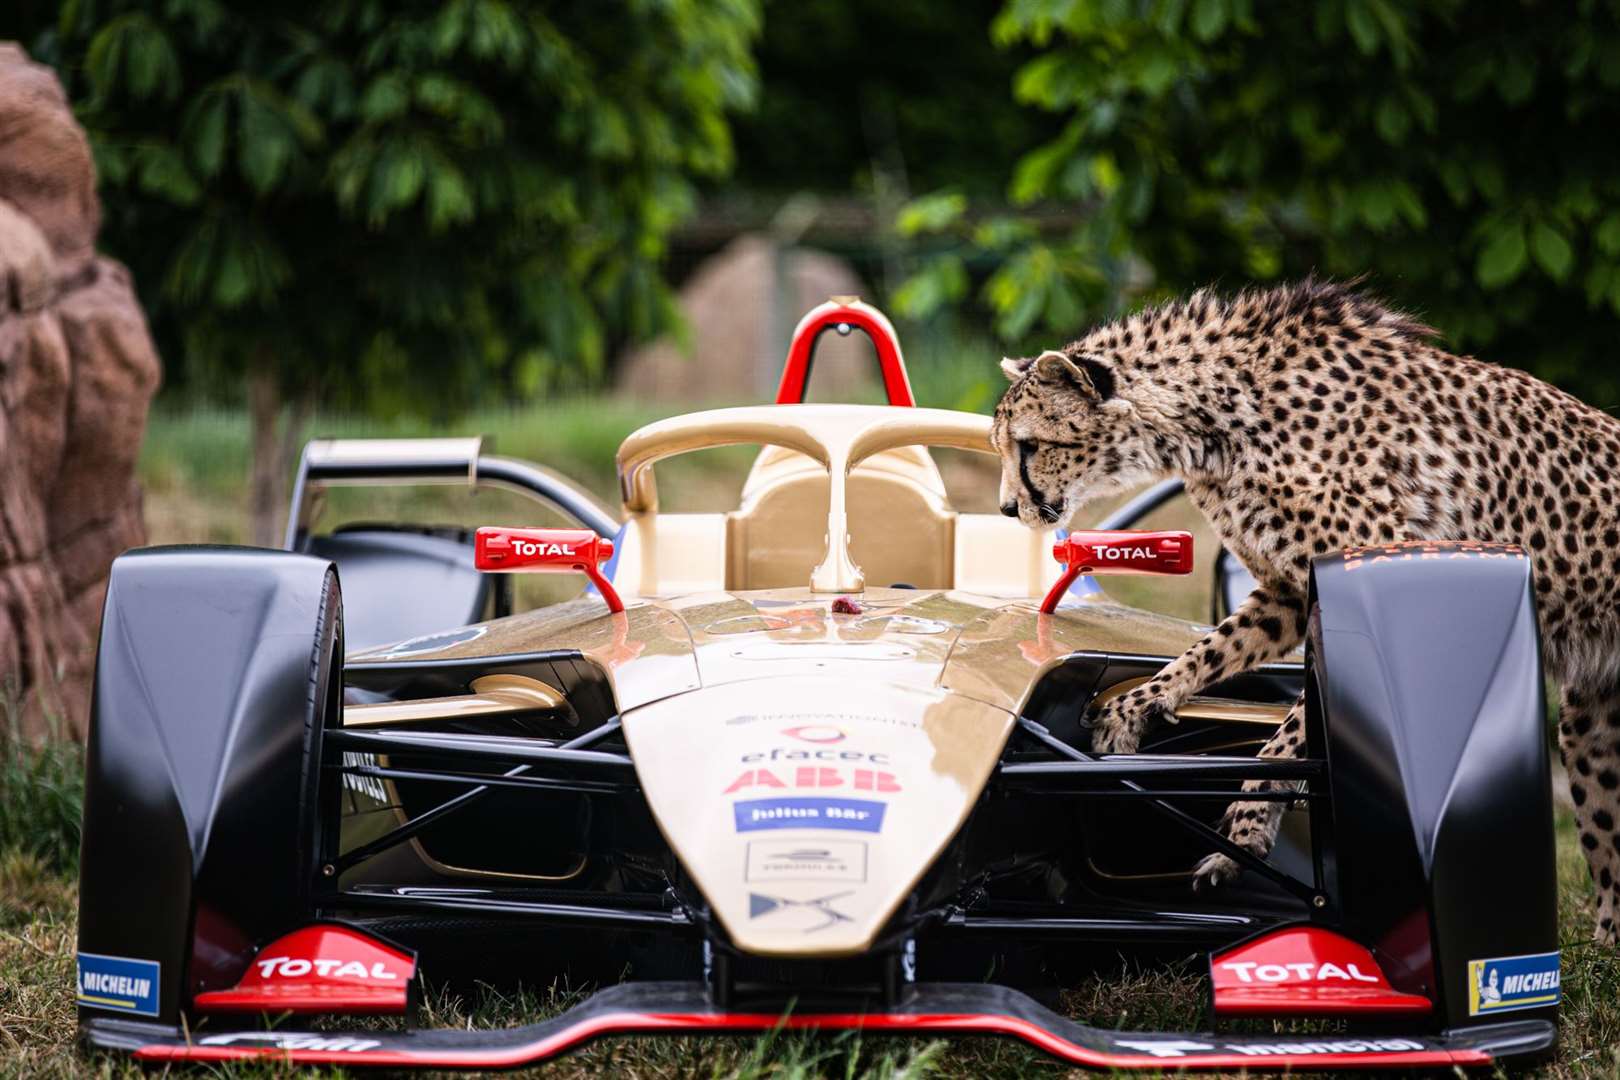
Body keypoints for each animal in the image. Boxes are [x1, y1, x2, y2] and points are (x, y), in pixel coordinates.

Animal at [984, 281, 1620, 945]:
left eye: (1030, 445)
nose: (1005, 508)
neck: (1212, 420)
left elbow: (1293, 732)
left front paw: (1243, 826)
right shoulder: (1285, 596)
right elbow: (1210, 650)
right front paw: (1139, 706)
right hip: (1589, 725)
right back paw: (1604, 949)